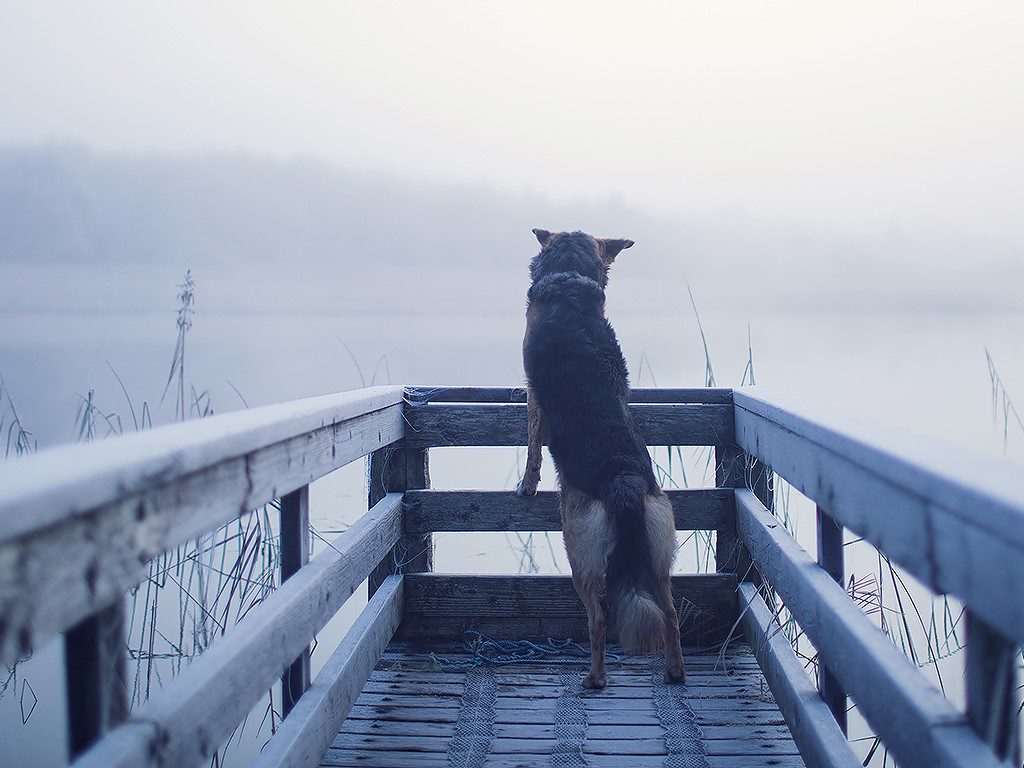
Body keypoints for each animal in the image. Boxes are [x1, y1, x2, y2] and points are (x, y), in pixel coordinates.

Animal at [512, 228, 688, 692]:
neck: (569, 281)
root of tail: (621, 477)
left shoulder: (533, 397)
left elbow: (532, 446)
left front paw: (527, 485)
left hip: (580, 557)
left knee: (597, 622)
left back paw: (595, 678)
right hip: (660, 557)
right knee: (671, 615)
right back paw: (675, 671)